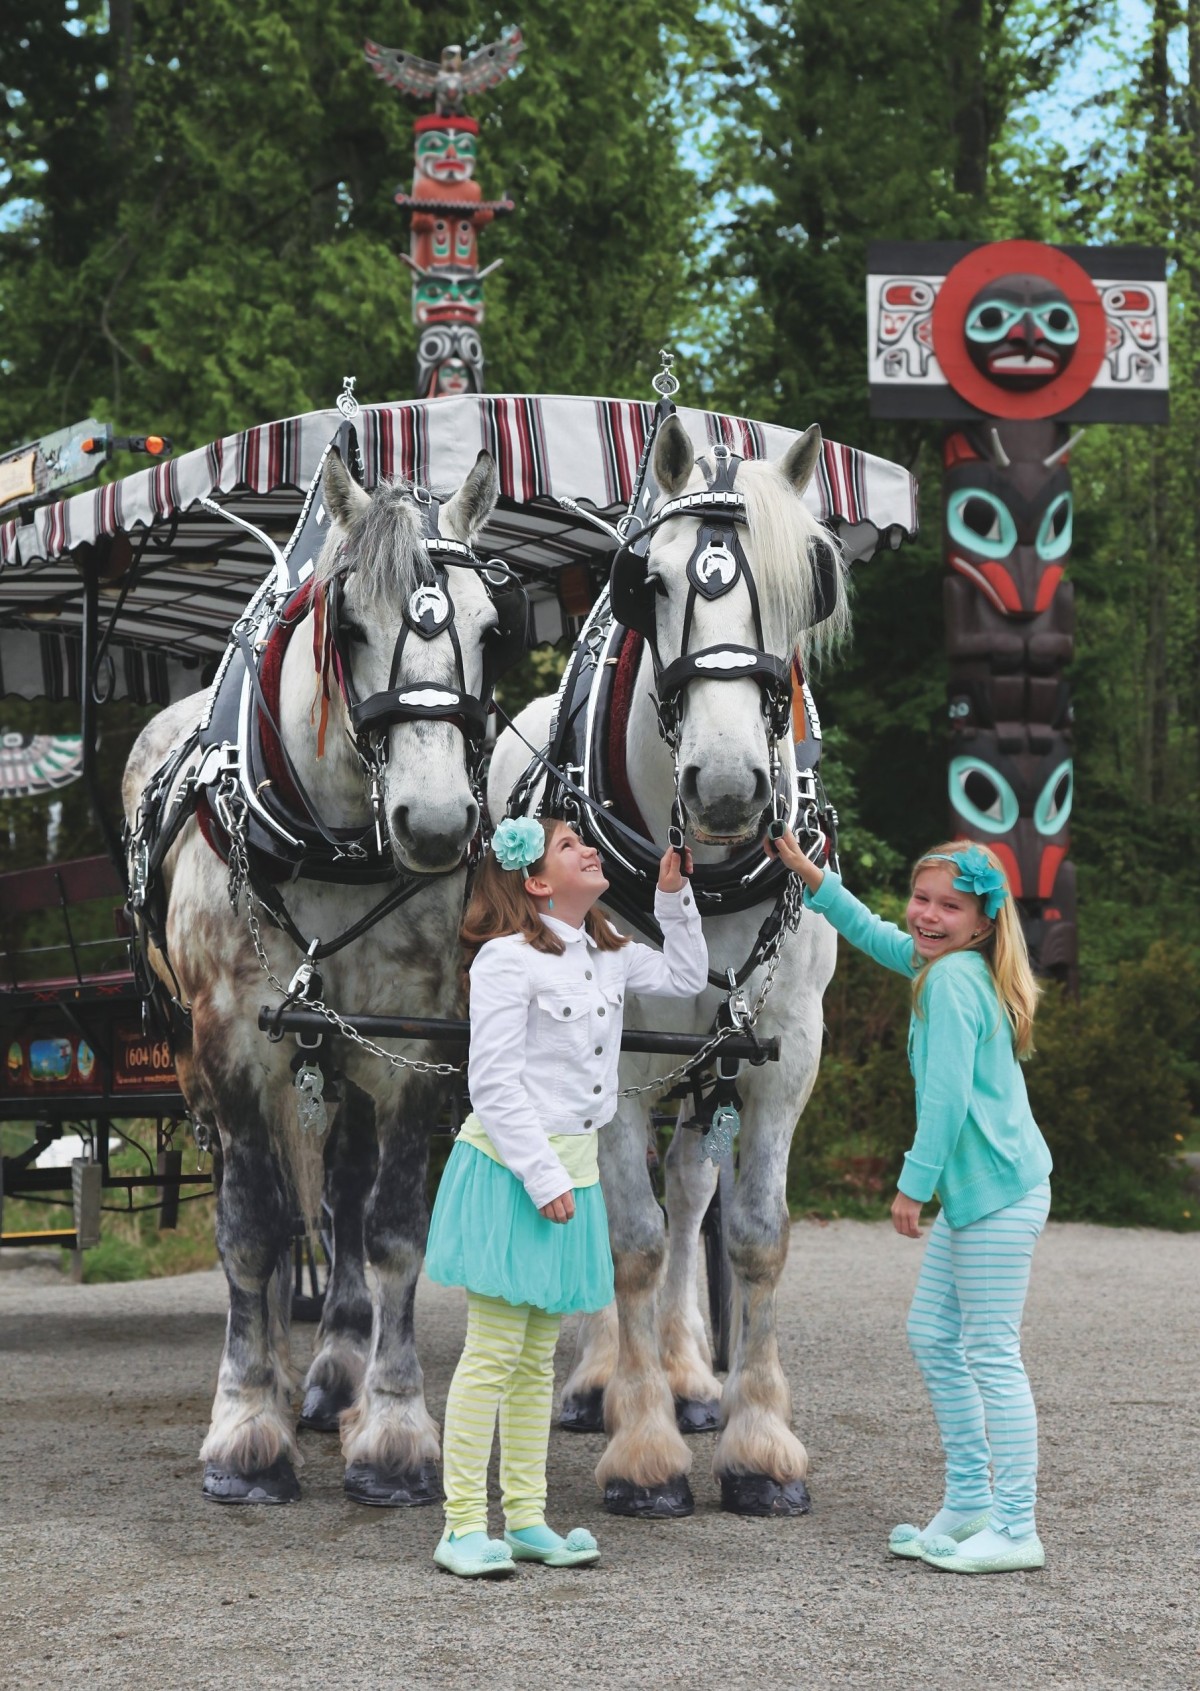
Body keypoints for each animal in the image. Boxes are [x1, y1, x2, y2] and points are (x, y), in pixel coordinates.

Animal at [125, 449, 507, 1508]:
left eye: (489, 629)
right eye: (354, 627)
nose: (434, 823)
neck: (330, 839)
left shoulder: (410, 1044)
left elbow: (391, 1229)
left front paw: (396, 1426)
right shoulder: (235, 1043)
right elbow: (252, 1229)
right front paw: (246, 1427)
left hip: (339, 1052)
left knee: (339, 1196)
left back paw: (336, 1371)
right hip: (203, 1065)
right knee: (253, 1200)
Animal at [486, 412, 845, 1521]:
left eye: (807, 581)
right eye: (655, 580)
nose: (727, 786)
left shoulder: (783, 1056)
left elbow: (752, 1231)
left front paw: (759, 1442)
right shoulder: (619, 1058)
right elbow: (632, 1239)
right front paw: (641, 1445)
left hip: (706, 1065)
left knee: (690, 1190)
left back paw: (689, 1372)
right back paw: (601, 1377)